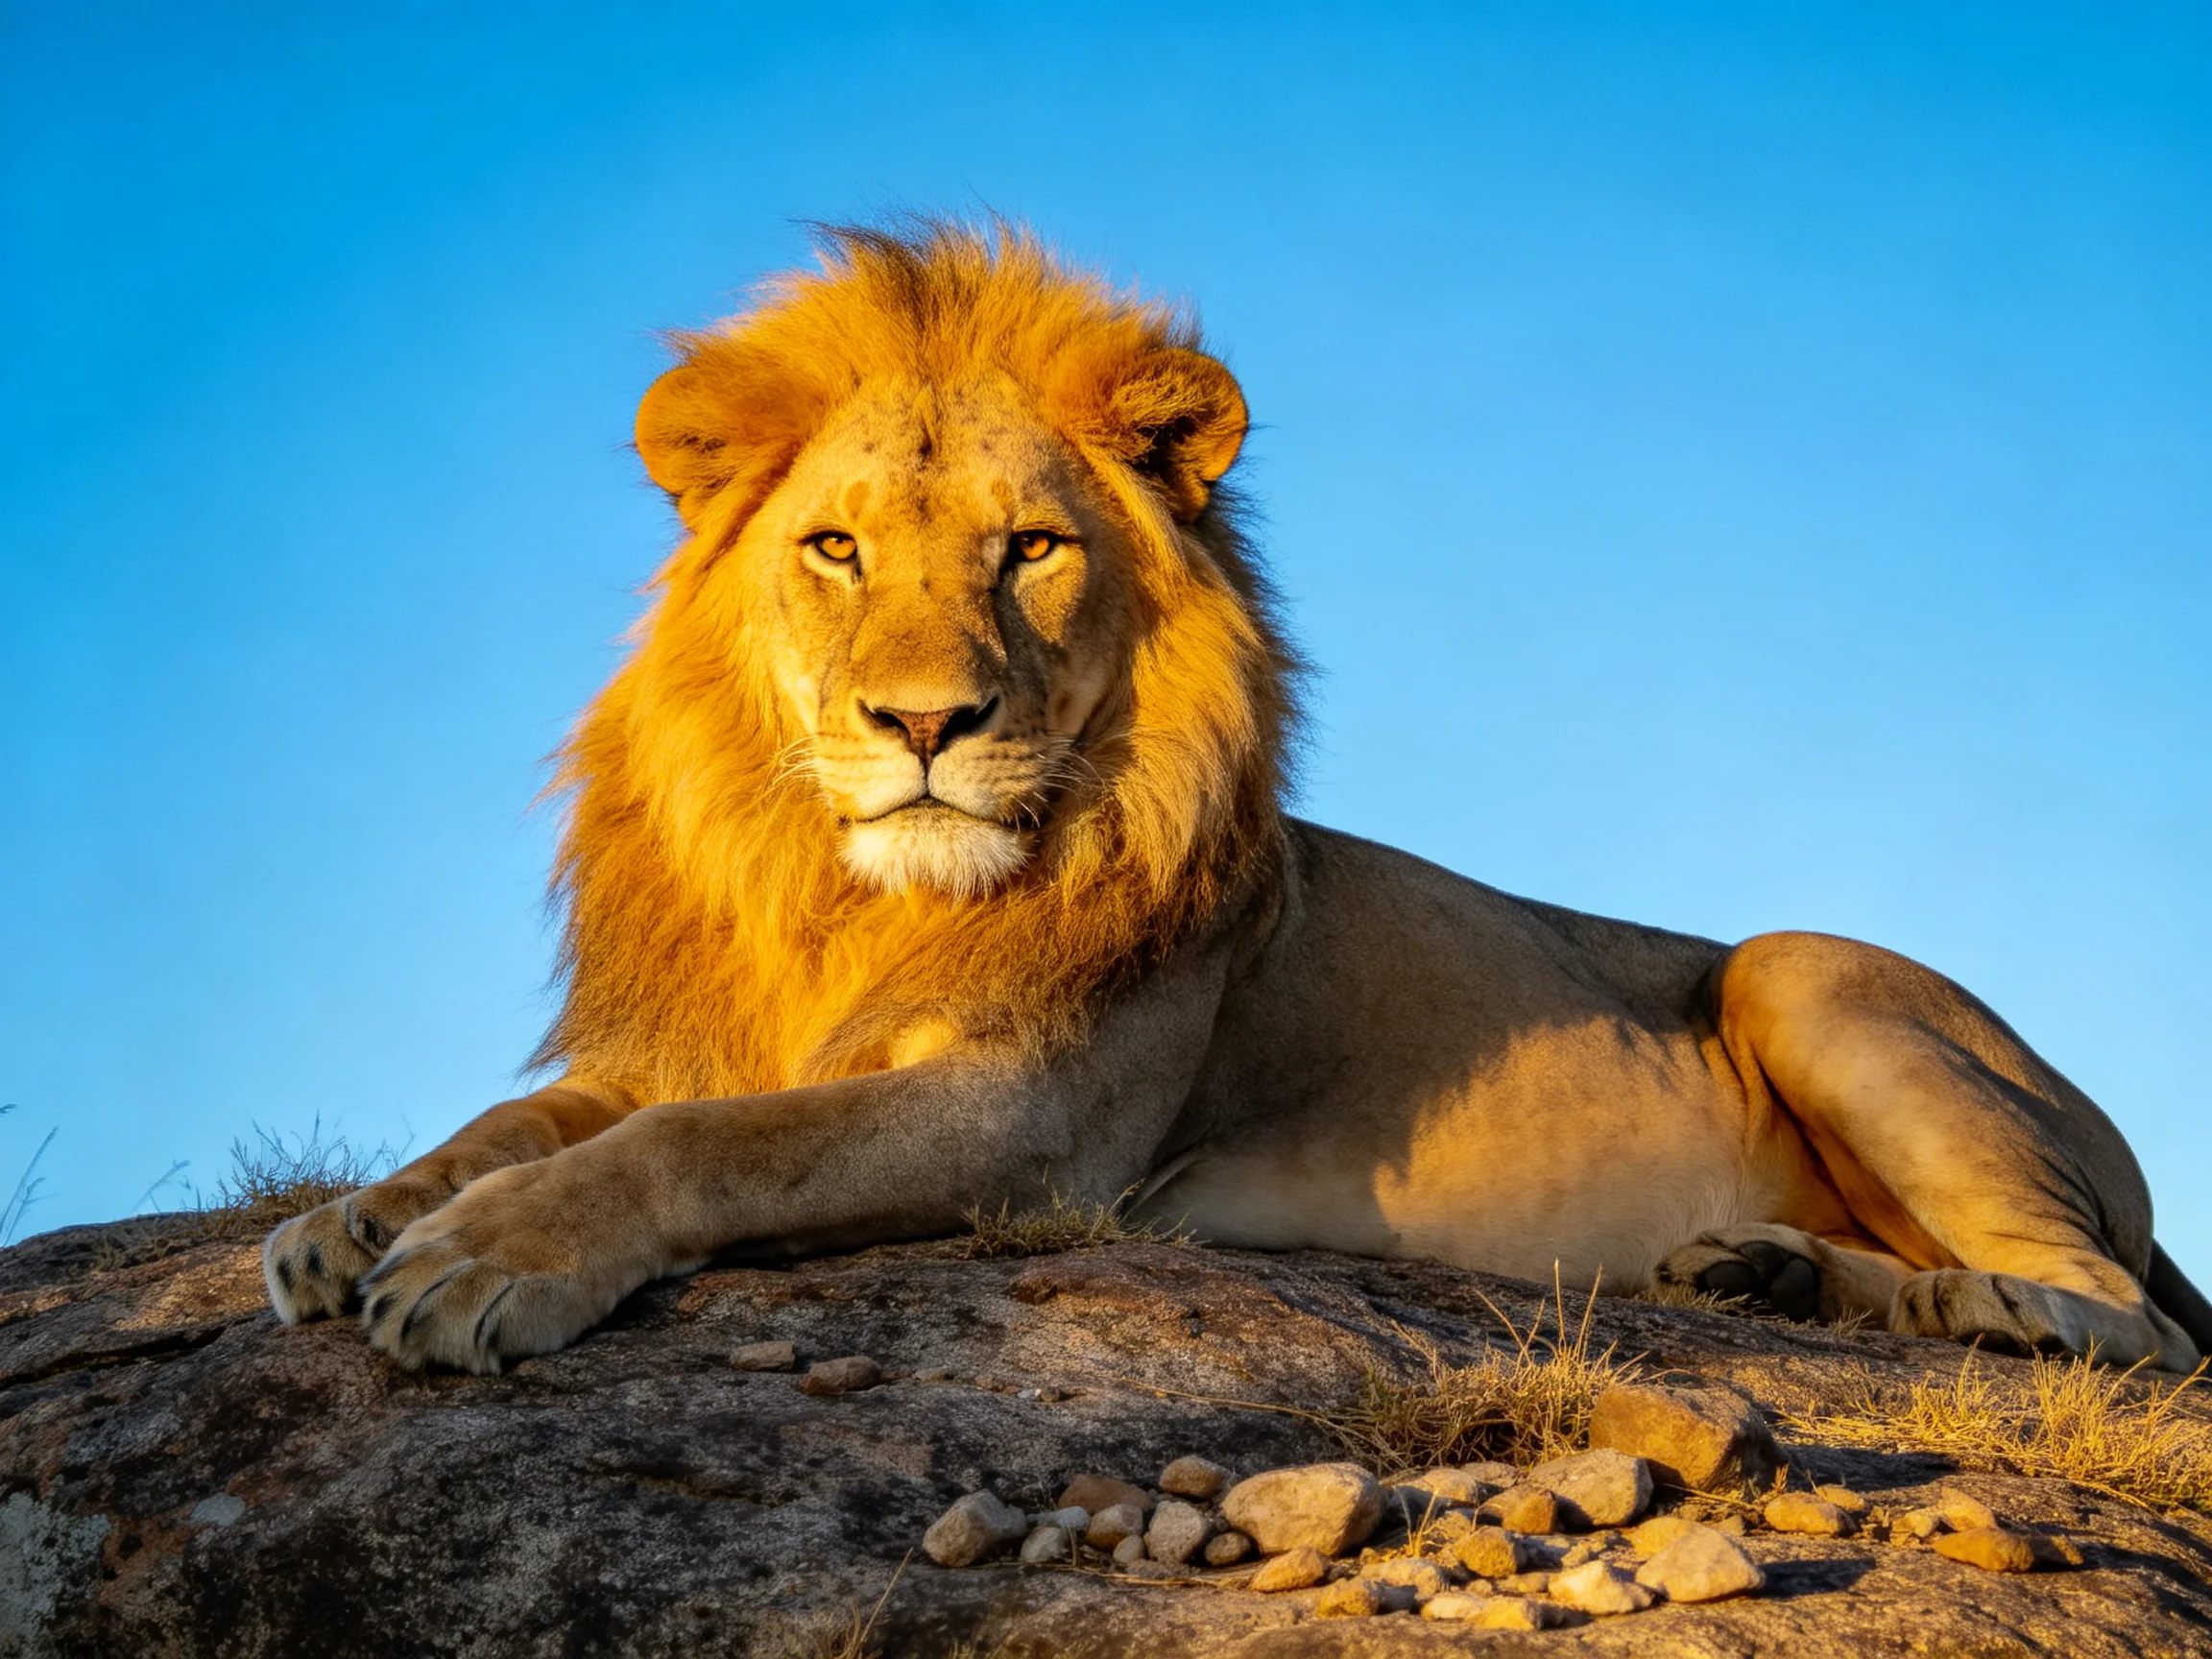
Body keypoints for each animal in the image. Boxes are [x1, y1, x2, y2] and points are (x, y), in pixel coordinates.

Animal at [264, 221, 2211, 1377]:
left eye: (1029, 549)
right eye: (833, 549)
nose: (925, 721)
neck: (849, 892)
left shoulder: (1033, 1124)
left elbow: (703, 1144)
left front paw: (479, 1262)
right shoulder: (685, 1032)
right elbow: (517, 1118)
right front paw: (351, 1222)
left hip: (1802, 968)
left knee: (2134, 1321)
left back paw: (1959, 1302)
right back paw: (1764, 1275)